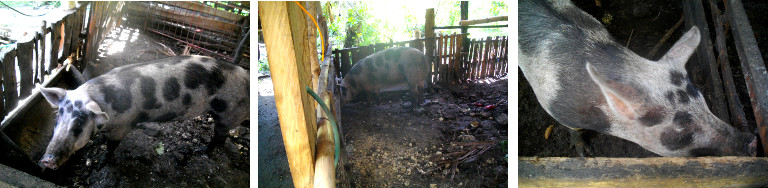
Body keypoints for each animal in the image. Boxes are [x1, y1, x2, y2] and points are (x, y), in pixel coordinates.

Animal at [39, 55, 249, 170]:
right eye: (57, 119)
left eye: (79, 124)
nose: (47, 160)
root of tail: (246, 77)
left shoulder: (122, 126)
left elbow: (111, 147)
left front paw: (101, 164)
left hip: (228, 112)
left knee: (220, 136)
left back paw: (201, 151)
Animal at [516, 0, 756, 156]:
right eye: (682, 132)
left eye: (705, 104)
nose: (753, 141)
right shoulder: (557, 110)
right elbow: (574, 130)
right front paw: (586, 154)